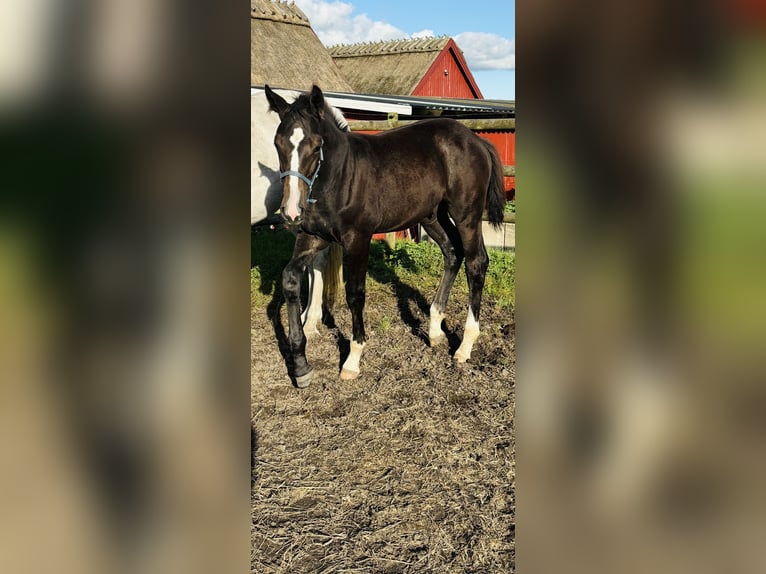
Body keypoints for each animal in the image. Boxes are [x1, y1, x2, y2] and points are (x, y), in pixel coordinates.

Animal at [268, 85, 508, 390]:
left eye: (315, 145)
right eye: (278, 144)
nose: (289, 212)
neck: (337, 178)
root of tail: (476, 139)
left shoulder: (358, 238)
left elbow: (355, 293)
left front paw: (353, 359)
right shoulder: (312, 236)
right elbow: (290, 281)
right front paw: (300, 366)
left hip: (466, 214)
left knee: (476, 262)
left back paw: (465, 346)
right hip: (431, 216)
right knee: (452, 252)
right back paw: (435, 330)